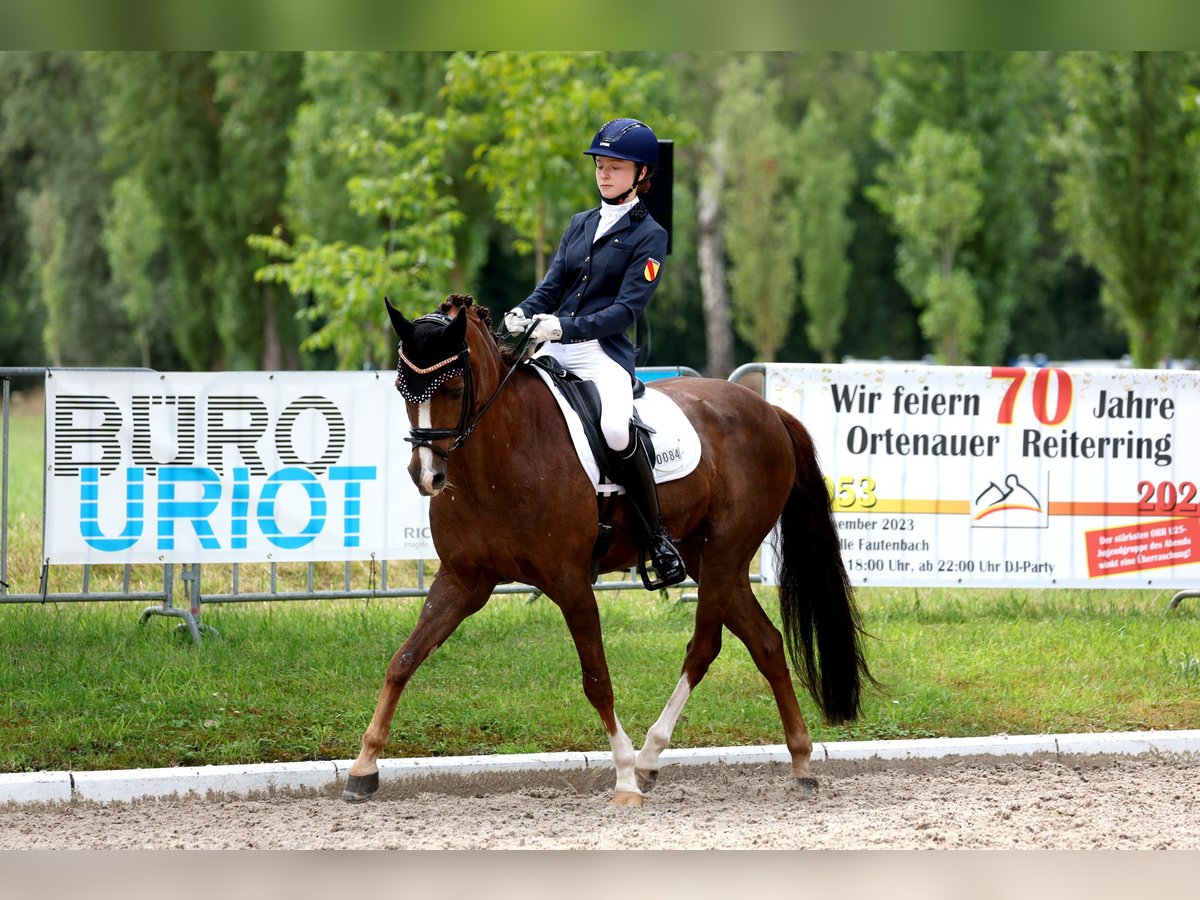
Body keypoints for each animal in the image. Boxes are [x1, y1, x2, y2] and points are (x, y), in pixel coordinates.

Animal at [343, 296, 878, 811]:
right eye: (402, 389)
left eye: (454, 389)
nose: (426, 476)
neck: (500, 455)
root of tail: (767, 410)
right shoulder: (461, 579)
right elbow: (404, 659)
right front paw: (363, 768)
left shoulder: (570, 582)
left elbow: (597, 679)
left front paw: (623, 777)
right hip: (710, 561)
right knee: (766, 643)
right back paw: (800, 762)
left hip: (725, 553)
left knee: (704, 648)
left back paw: (646, 759)